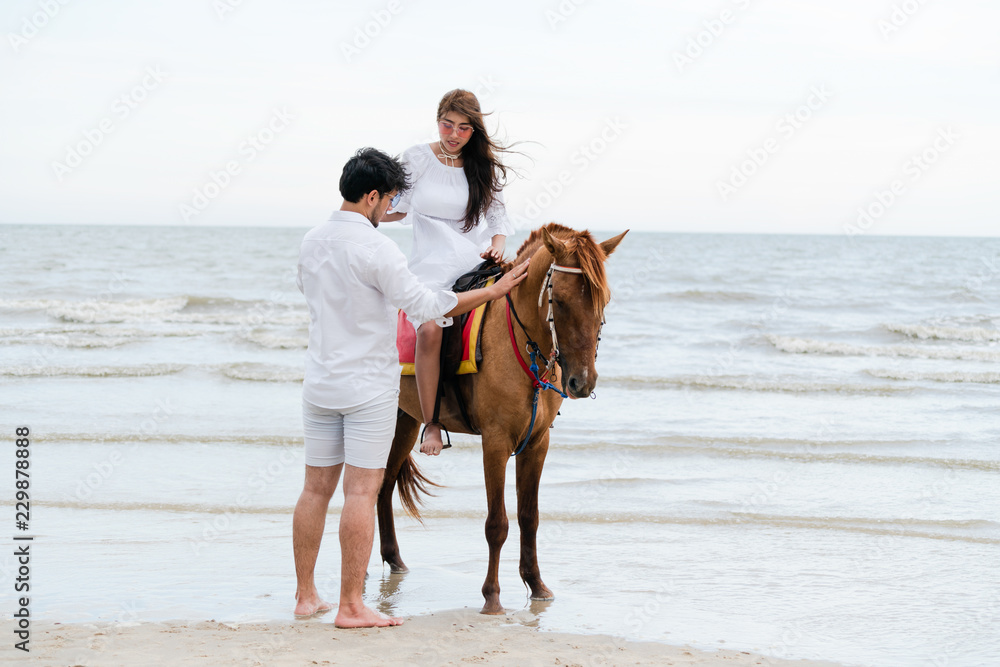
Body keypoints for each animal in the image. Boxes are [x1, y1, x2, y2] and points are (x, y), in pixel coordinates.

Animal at [376, 222, 624, 612]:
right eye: (560, 300)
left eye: (604, 300)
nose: (581, 382)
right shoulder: (495, 442)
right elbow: (497, 523)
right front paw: (491, 596)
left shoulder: (537, 443)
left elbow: (529, 517)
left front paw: (536, 584)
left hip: (406, 419)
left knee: (385, 486)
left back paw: (395, 560)